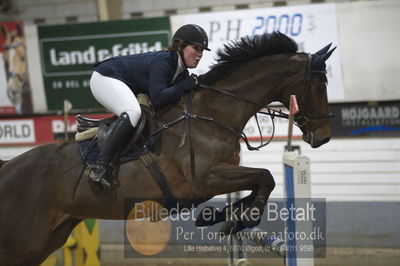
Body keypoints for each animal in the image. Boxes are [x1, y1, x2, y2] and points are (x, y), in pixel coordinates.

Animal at [0, 31, 334, 266]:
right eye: (320, 86)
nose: (324, 137)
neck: (213, 112)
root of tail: (8, 167)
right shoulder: (204, 179)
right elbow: (266, 176)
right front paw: (239, 218)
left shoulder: (218, 177)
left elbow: (260, 182)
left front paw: (220, 217)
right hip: (24, 242)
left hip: (46, 239)